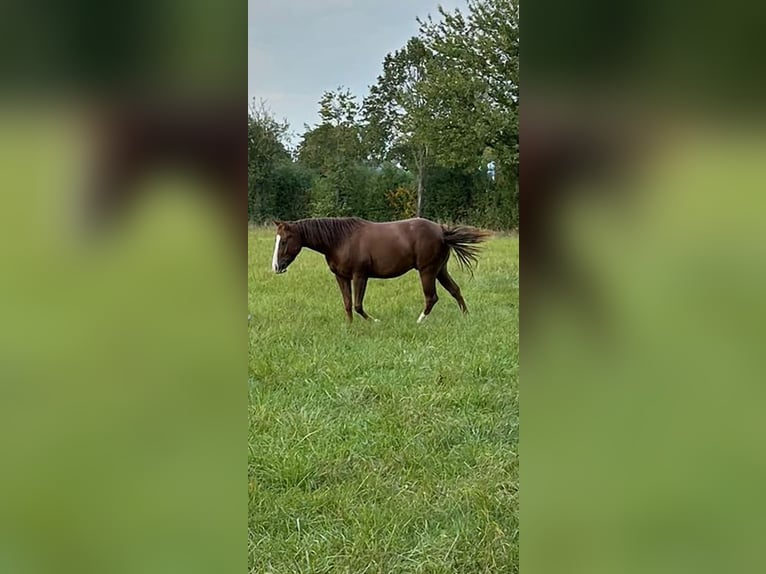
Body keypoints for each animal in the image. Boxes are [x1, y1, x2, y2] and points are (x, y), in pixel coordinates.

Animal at [272, 217, 496, 324]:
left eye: (285, 240)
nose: (276, 267)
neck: (340, 240)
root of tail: (442, 231)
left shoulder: (360, 276)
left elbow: (358, 305)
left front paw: (376, 321)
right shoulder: (341, 277)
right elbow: (347, 305)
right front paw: (349, 327)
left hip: (427, 271)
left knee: (432, 298)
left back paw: (419, 321)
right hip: (440, 269)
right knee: (455, 290)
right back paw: (466, 317)